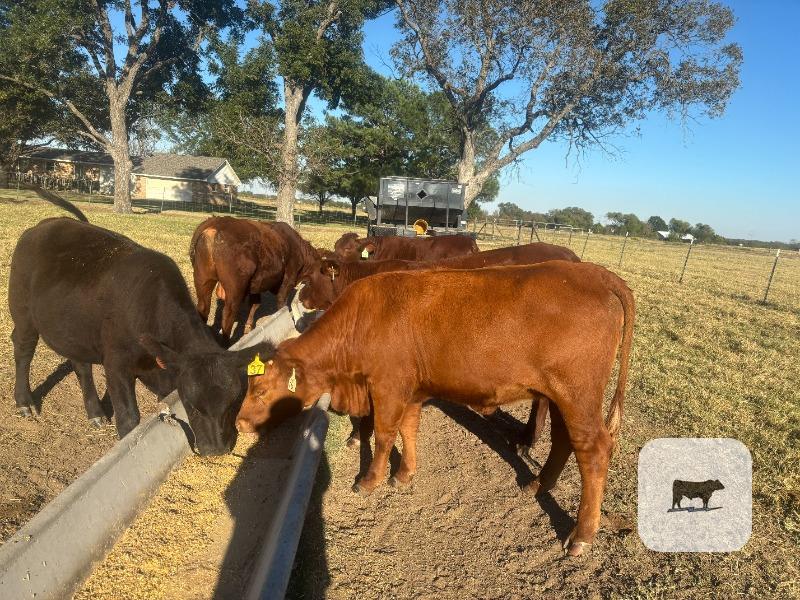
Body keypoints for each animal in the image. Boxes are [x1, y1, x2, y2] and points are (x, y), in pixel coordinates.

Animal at [9, 216, 271, 454]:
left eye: (233, 403)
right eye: (193, 405)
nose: (216, 449)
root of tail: (41, 226)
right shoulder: (116, 364)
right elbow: (129, 418)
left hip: (75, 330)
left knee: (81, 365)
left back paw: (95, 413)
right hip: (23, 315)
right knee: (23, 350)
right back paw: (24, 403)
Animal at [190, 216, 320, 345]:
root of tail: (215, 224)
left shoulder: (257, 283)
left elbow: (254, 304)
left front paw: (248, 327)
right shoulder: (288, 280)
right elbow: (281, 303)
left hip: (203, 280)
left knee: (203, 307)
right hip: (235, 288)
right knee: (228, 315)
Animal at [236, 261, 635, 556]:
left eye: (261, 390)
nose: (239, 424)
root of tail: (598, 274)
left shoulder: (388, 388)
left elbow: (384, 435)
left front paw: (370, 480)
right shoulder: (411, 392)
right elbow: (408, 429)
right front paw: (404, 473)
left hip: (577, 396)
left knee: (594, 450)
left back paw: (582, 535)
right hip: (560, 397)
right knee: (564, 441)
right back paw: (536, 485)